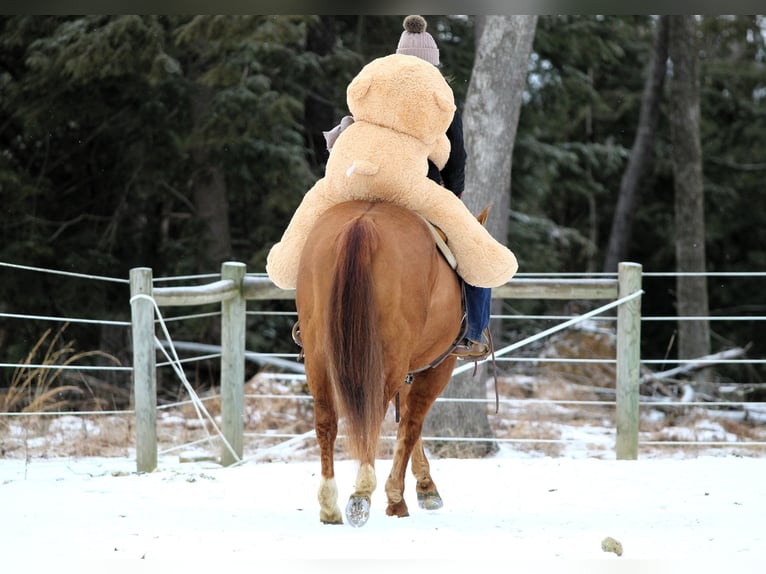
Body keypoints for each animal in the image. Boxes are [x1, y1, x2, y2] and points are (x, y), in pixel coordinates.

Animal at [298, 200, 472, 528]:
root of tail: (362, 223)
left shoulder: (408, 370)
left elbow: (407, 421)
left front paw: (423, 486)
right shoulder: (437, 367)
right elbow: (412, 424)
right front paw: (400, 496)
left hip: (318, 355)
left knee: (326, 420)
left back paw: (329, 506)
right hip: (390, 360)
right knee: (372, 416)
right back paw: (361, 494)